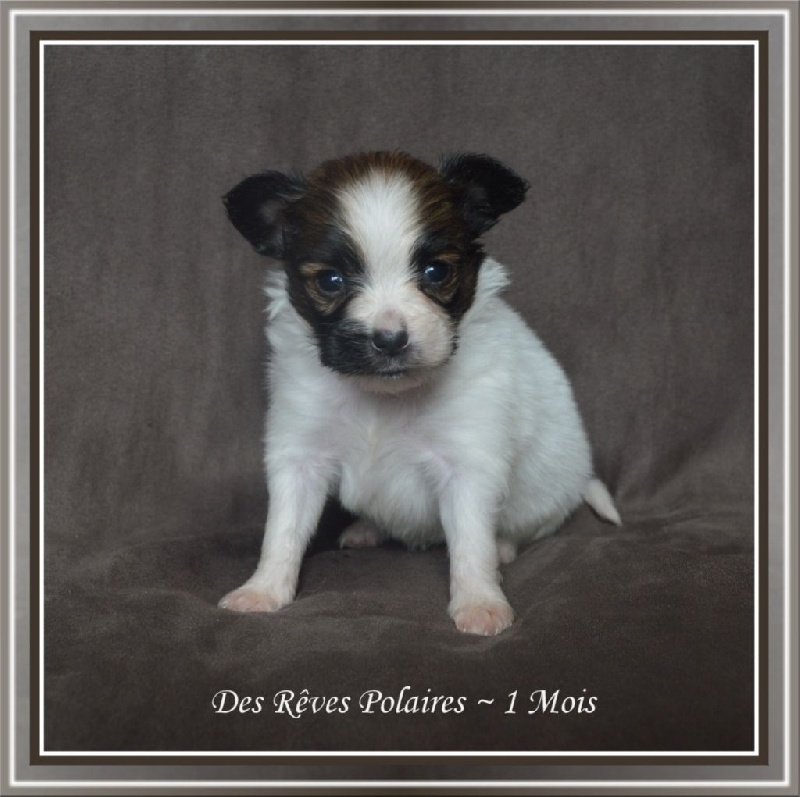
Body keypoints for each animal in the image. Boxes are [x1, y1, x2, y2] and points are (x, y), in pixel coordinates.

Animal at [219, 151, 620, 636]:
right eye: (331, 281)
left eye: (436, 271)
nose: (390, 339)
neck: (385, 397)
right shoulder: (300, 455)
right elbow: (282, 530)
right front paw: (262, 590)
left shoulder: (467, 463)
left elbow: (471, 542)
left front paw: (480, 603)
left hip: (546, 496)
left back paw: (504, 547)